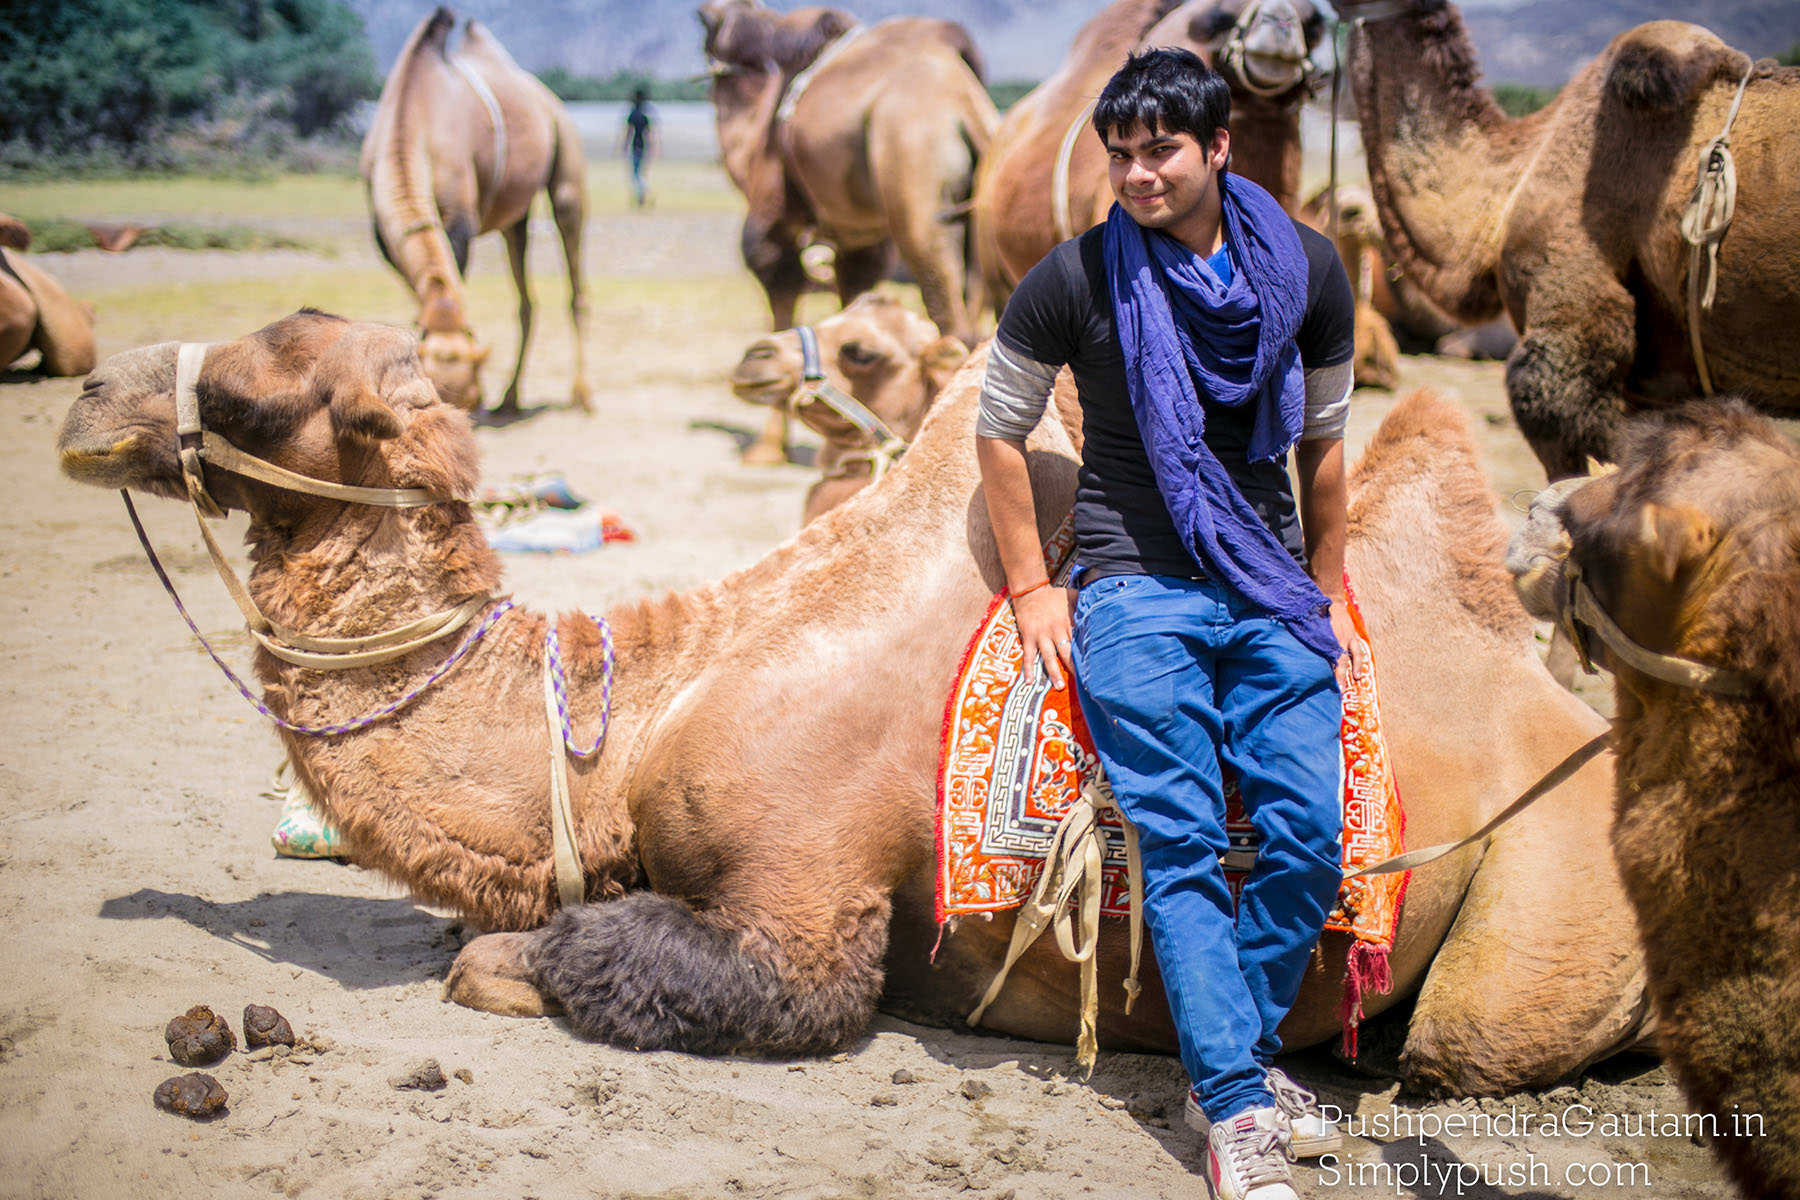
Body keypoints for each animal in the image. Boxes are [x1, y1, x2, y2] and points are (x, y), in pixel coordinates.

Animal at [360, 7, 590, 417]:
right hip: (514, 218)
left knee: (573, 278)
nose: (476, 403)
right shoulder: (385, 239)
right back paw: (511, 397)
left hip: (566, 161)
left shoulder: (459, 219)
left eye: (467, 396)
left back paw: (582, 394)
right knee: (525, 297)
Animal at [694, 0, 1000, 464]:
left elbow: (782, 298)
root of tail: (967, 109)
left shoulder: (775, 220)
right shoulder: (860, 238)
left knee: (954, 322)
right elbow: (852, 299)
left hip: (915, 184)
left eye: (707, 35)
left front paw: (767, 448)